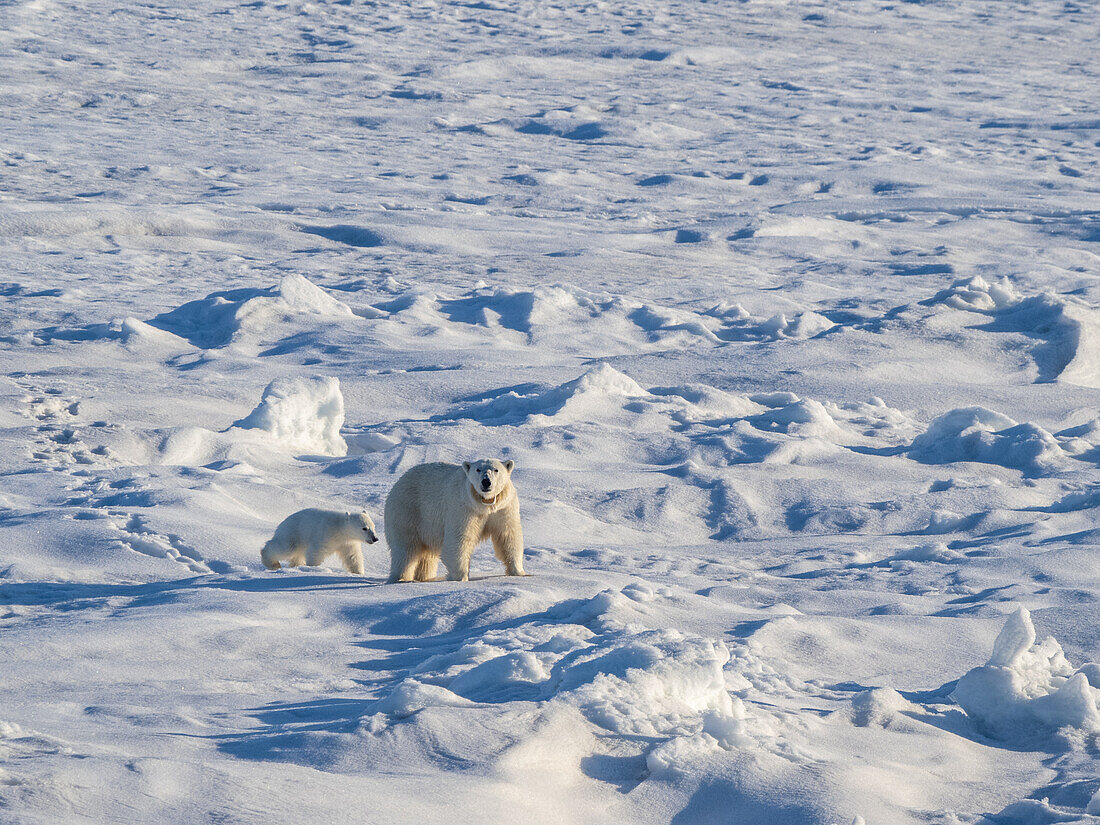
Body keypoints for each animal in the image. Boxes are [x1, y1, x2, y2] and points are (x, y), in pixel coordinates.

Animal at [385, 462, 525, 585]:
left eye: (496, 470)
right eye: (478, 469)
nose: (486, 481)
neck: (484, 504)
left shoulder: (504, 507)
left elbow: (507, 536)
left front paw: (519, 573)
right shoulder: (463, 507)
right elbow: (458, 540)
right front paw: (460, 577)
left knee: (426, 557)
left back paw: (425, 577)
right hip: (408, 511)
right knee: (406, 549)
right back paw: (401, 578)